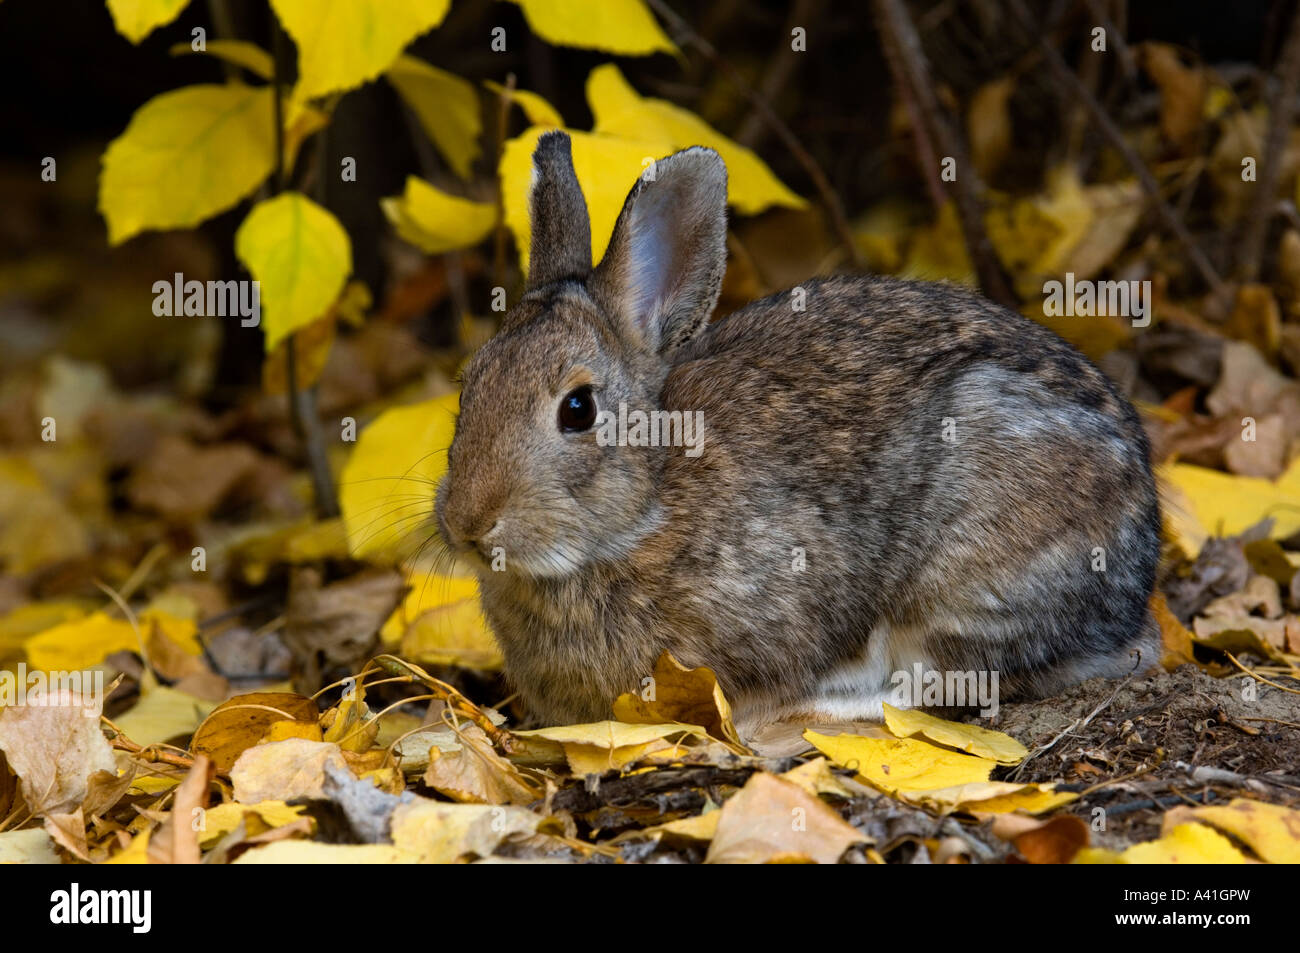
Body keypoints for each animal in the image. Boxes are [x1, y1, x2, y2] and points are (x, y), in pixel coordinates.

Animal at [434, 130, 1159, 733]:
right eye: (469, 387)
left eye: (578, 409)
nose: (469, 524)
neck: (644, 511)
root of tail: (1136, 569)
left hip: (970, 564)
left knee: (934, 683)